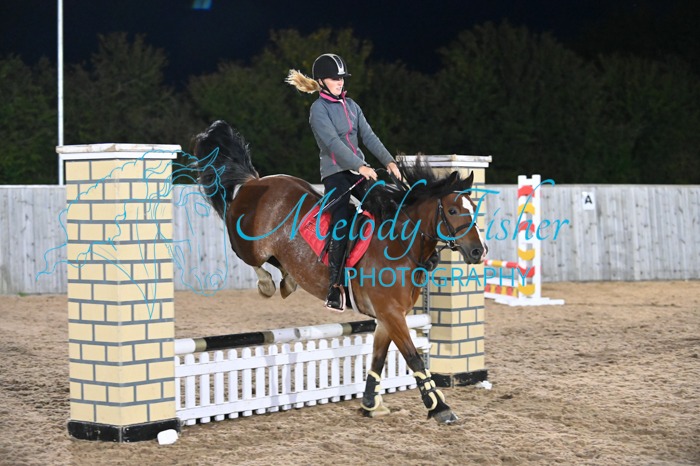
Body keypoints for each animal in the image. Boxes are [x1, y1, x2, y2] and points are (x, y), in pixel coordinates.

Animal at [192, 120, 487, 424]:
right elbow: (413, 357)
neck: (399, 245)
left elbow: (378, 358)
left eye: (473, 208)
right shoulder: (391, 313)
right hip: (250, 244)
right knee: (246, 251)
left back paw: (288, 281)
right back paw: (268, 284)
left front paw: (370, 403)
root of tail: (254, 181)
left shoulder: (387, 317)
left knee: (279, 263)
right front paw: (439, 407)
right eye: (452, 210)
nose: (479, 251)